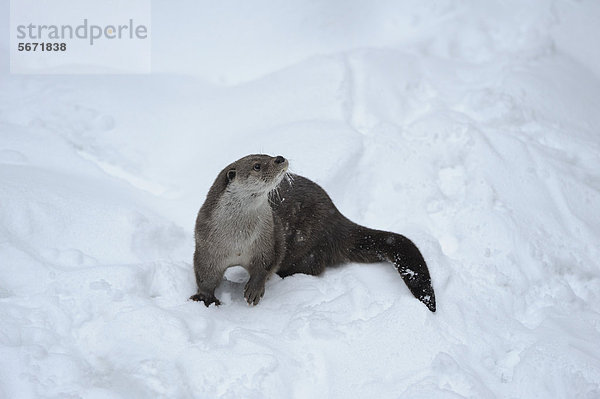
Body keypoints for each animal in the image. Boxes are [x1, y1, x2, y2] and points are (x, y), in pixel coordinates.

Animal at [191, 153, 436, 312]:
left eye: (267, 153)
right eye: (257, 165)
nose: (279, 158)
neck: (239, 239)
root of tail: (337, 219)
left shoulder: (269, 240)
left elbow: (266, 265)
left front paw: (254, 289)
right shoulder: (206, 246)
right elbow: (205, 275)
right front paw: (205, 298)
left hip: (311, 246)